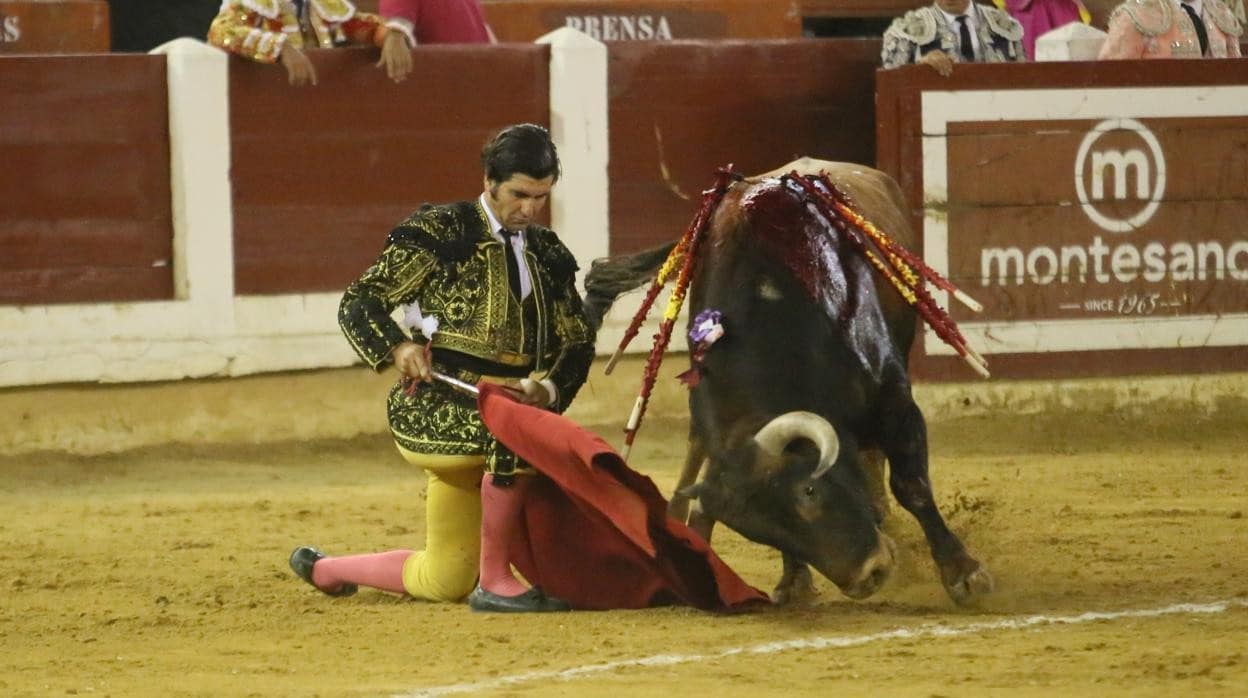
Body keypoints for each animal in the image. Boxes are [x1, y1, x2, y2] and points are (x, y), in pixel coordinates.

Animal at [584, 158, 993, 606]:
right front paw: (794, 580)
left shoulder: (895, 401)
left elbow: (912, 484)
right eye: (762, 533)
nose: (869, 576)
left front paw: (963, 573)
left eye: (809, 491)